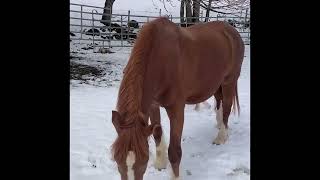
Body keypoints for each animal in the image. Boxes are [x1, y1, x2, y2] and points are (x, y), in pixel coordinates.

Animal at [111, 17, 244, 180]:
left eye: (143, 161)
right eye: (117, 160)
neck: (161, 59)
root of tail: (232, 30)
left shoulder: (176, 109)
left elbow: (175, 151)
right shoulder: (153, 105)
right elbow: (157, 134)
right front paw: (160, 164)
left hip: (229, 81)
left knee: (227, 106)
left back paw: (221, 137)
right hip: (217, 83)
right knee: (219, 101)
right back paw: (219, 125)